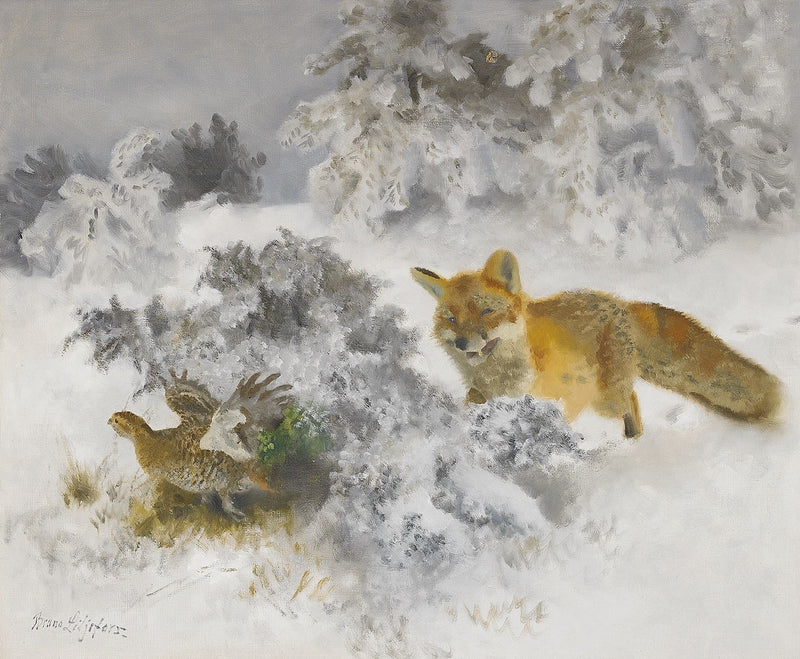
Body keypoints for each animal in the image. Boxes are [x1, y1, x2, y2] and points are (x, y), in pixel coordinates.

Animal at [411, 249, 781, 438]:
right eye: (451, 319)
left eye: (487, 311)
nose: (462, 342)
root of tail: (619, 302)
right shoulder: (481, 397)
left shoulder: (565, 398)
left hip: (605, 398)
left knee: (632, 403)